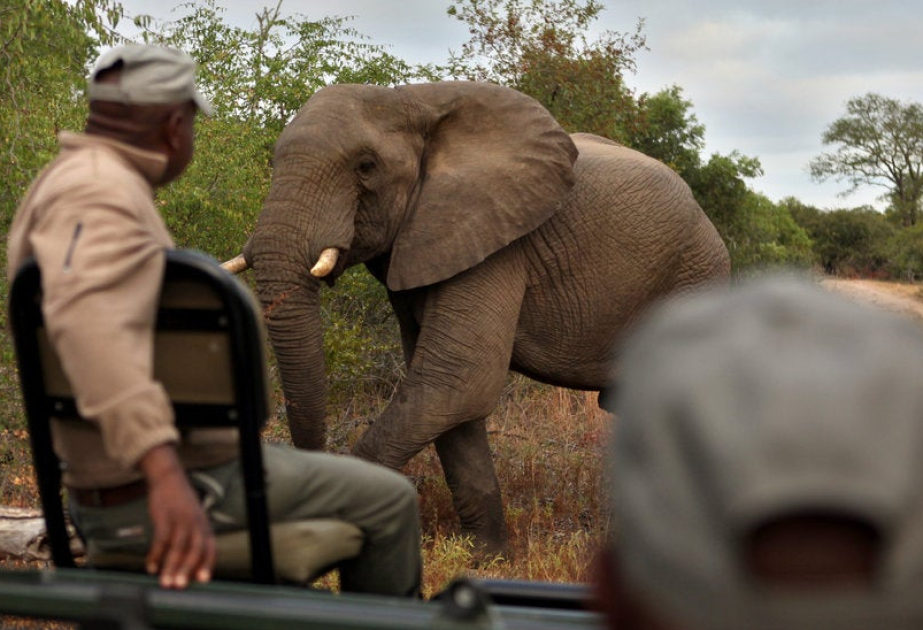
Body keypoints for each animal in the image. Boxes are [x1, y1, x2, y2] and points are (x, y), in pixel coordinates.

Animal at [225, 81, 730, 556]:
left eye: (366, 166)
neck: (412, 101)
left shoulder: (498, 243)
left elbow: (459, 379)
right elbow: (444, 394)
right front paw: (485, 557)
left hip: (695, 276)